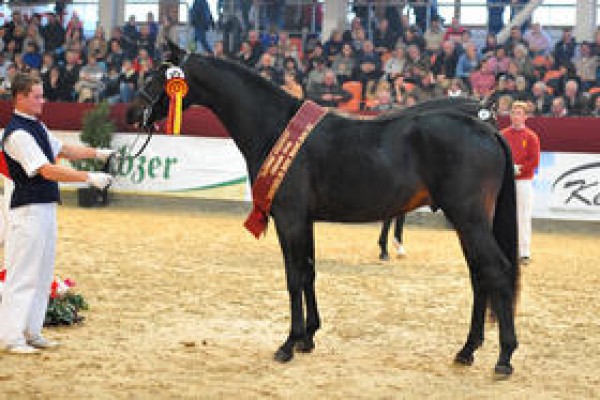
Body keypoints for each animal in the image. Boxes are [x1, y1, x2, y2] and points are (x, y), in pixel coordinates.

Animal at [126, 43, 520, 378]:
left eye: (155, 76)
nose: (132, 112)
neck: (275, 126)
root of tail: (485, 128)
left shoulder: (288, 218)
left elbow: (293, 277)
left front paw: (288, 343)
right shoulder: (305, 220)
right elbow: (309, 272)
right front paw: (308, 337)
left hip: (468, 219)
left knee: (497, 271)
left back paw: (504, 358)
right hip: (467, 222)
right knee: (479, 276)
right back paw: (466, 351)